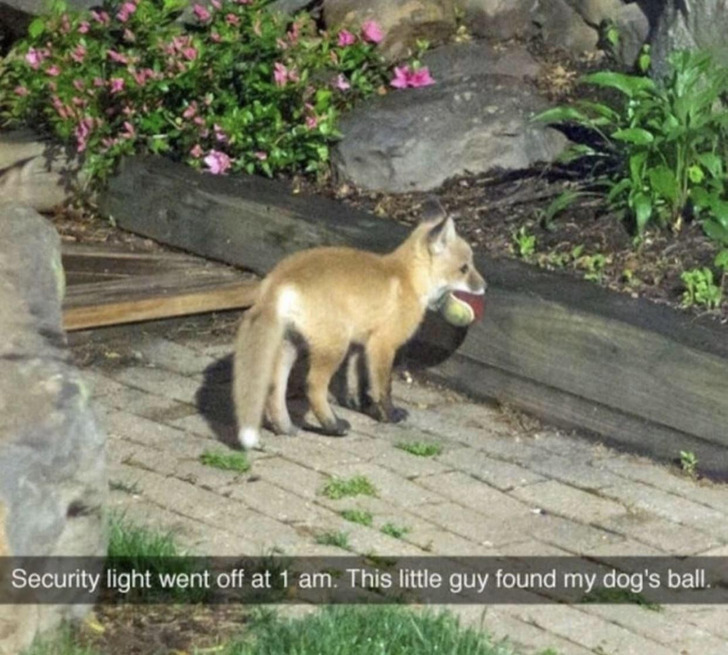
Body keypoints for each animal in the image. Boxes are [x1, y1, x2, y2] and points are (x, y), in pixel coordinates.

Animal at [233, 210, 486, 450]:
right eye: (464, 268)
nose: (484, 286)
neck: (408, 278)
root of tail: (278, 278)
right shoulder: (382, 344)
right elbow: (383, 387)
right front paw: (389, 415)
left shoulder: (361, 345)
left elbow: (361, 384)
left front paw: (364, 407)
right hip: (334, 347)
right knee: (313, 385)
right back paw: (333, 425)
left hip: (291, 345)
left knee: (275, 387)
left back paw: (284, 428)